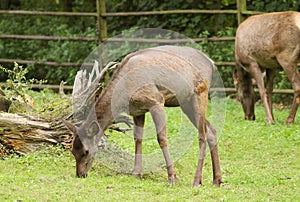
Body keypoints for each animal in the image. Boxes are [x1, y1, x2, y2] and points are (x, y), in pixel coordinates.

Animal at [63, 45, 223, 186]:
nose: (80, 174)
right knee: (211, 130)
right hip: (186, 103)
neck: (124, 94)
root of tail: (212, 63)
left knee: (202, 134)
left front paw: (172, 177)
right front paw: (136, 174)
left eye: (86, 151)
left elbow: (162, 138)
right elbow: (138, 139)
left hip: (200, 92)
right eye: (72, 150)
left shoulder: (156, 101)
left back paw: (196, 181)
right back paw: (217, 180)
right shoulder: (138, 111)